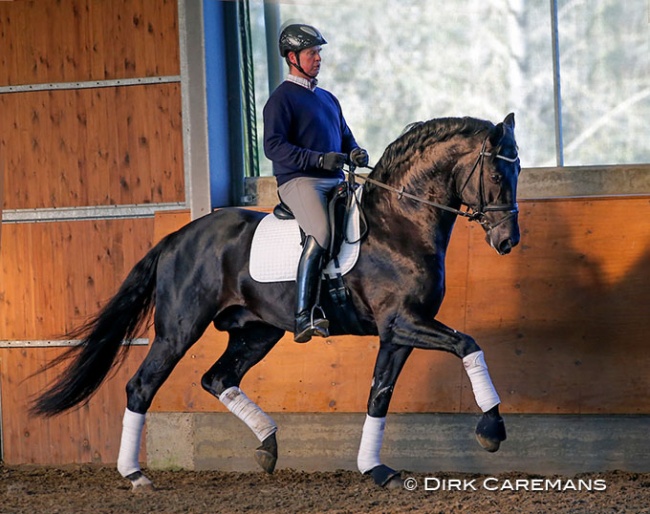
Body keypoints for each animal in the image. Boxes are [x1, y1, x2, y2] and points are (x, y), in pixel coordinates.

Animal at [31, 112, 520, 488]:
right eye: (498, 174)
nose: (507, 241)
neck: (397, 224)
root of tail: (176, 237)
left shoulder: (396, 333)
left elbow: (379, 395)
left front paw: (375, 469)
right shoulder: (402, 322)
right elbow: (468, 344)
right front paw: (491, 431)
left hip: (256, 332)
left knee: (217, 378)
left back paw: (267, 445)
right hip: (179, 331)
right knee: (141, 386)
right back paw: (135, 475)